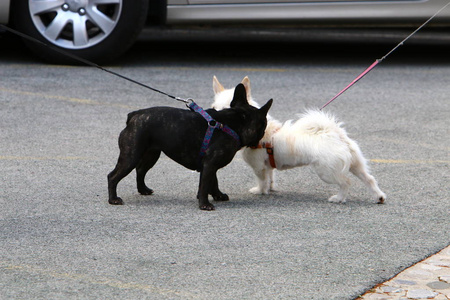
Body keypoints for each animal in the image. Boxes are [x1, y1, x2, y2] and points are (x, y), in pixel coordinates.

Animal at [107, 84, 272, 211]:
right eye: (264, 125)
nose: (263, 135)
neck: (233, 124)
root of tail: (134, 116)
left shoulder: (209, 166)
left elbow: (213, 181)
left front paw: (218, 195)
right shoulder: (210, 164)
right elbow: (206, 184)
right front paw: (205, 204)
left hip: (151, 155)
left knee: (140, 170)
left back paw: (143, 190)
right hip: (131, 156)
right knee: (113, 176)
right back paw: (113, 199)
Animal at [212, 75, 386, 204]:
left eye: (228, 110)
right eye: (214, 108)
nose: (214, 118)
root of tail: (335, 134)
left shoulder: (258, 167)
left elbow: (262, 180)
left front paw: (260, 191)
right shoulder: (267, 166)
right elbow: (270, 177)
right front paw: (271, 188)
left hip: (326, 172)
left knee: (346, 182)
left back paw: (339, 198)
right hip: (356, 164)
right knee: (369, 179)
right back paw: (379, 196)